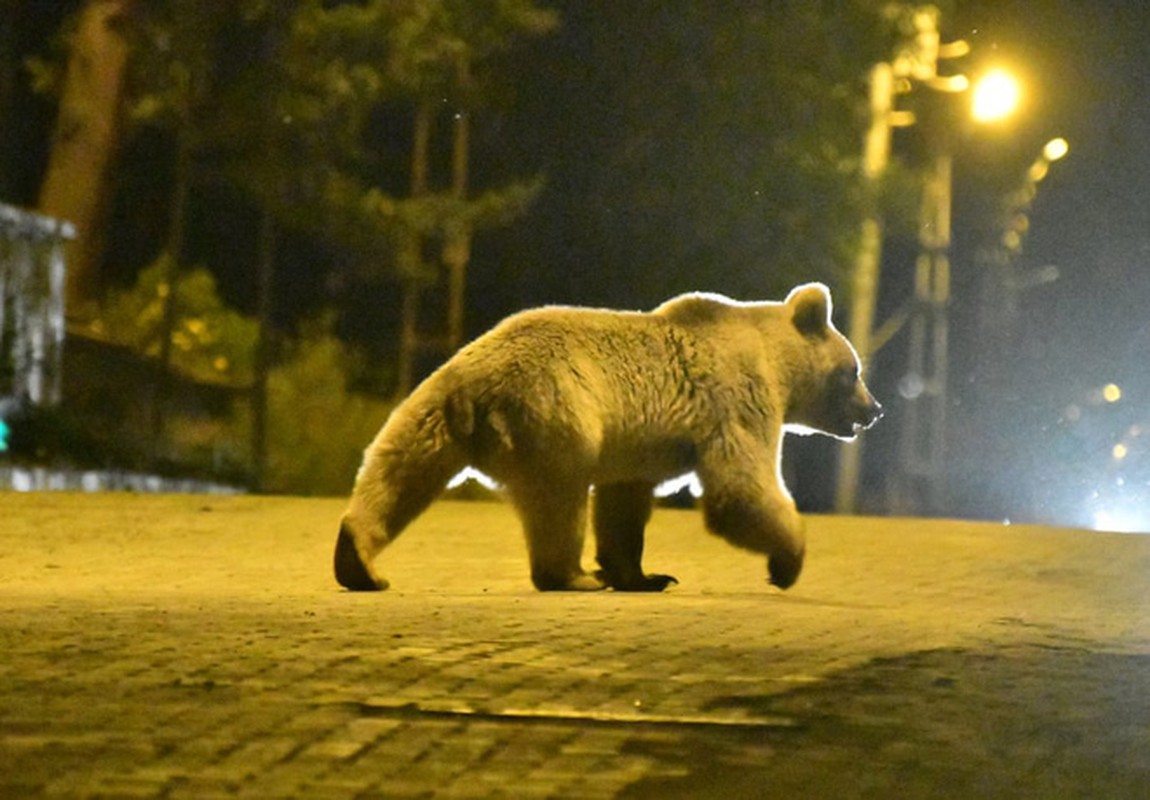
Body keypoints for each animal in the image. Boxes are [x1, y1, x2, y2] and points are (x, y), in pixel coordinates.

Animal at [333, 283, 878, 588]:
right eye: (852, 370)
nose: (873, 409)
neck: (776, 364)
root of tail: (475, 390)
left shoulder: (636, 448)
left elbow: (623, 507)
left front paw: (644, 575)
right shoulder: (735, 398)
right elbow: (740, 489)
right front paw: (787, 561)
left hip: (433, 408)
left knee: (397, 470)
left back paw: (357, 562)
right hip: (556, 412)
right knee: (559, 497)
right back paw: (571, 576)